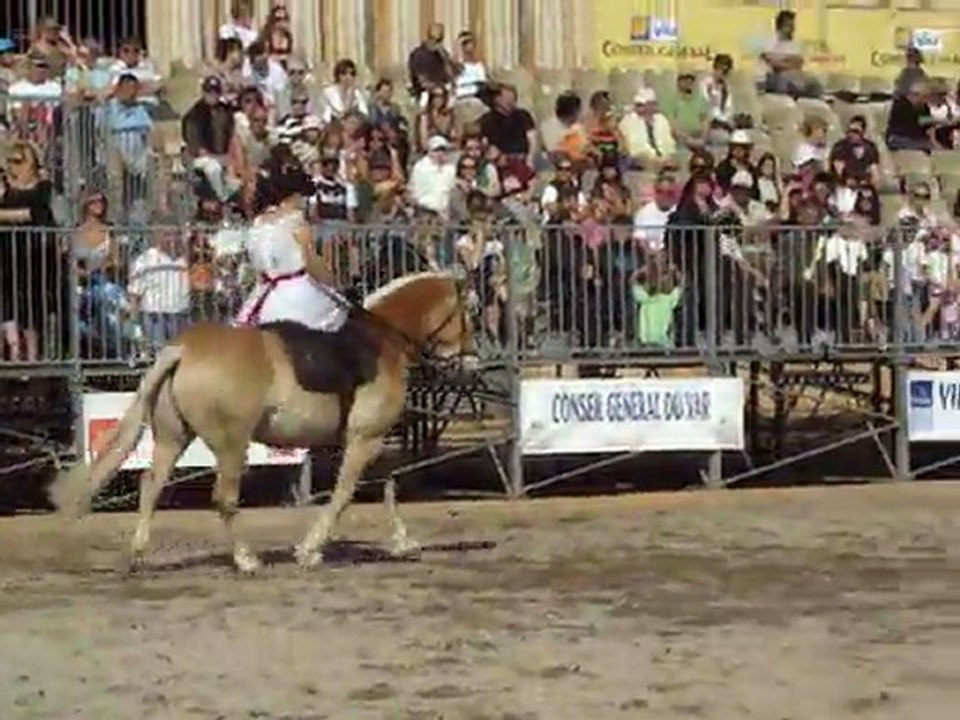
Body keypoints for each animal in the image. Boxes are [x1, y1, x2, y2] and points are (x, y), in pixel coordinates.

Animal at [49, 271, 476, 572]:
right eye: (469, 312)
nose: (471, 361)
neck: (382, 342)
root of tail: (185, 348)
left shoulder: (368, 439)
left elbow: (388, 483)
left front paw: (403, 541)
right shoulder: (364, 439)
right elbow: (344, 495)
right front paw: (309, 551)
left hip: (173, 437)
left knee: (150, 486)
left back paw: (138, 555)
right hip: (231, 444)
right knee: (223, 499)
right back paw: (246, 559)